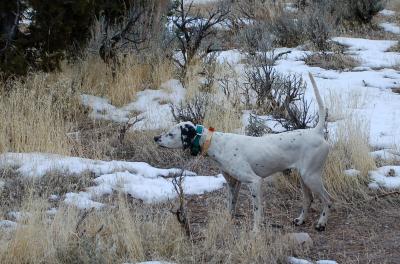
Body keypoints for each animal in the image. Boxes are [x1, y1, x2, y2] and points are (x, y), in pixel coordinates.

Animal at [155, 73, 332, 231]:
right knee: (308, 199)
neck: (215, 142)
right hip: (304, 177)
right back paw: (301, 220)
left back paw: (322, 223)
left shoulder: (254, 182)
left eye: (170, 134)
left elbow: (257, 212)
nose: (155, 138)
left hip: (311, 177)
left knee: (328, 200)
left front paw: (255, 231)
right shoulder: (234, 183)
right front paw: (228, 221)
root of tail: (316, 131)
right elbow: (231, 206)